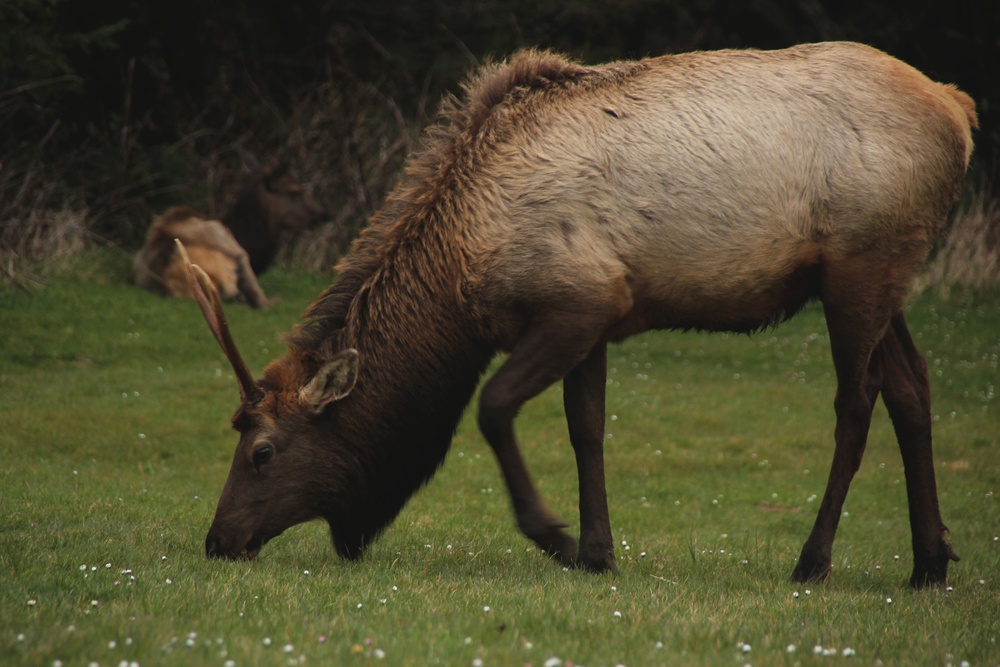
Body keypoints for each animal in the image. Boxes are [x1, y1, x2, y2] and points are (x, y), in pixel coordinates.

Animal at [182, 41, 976, 588]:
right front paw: (599, 551)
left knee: (857, 400)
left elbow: (495, 406)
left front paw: (556, 537)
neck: (461, 276)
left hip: (861, 266)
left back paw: (813, 560)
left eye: (262, 452)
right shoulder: (596, 321)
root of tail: (958, 112)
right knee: (912, 386)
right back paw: (930, 560)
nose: (218, 539)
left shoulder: (581, 302)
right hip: (881, 278)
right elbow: (586, 427)